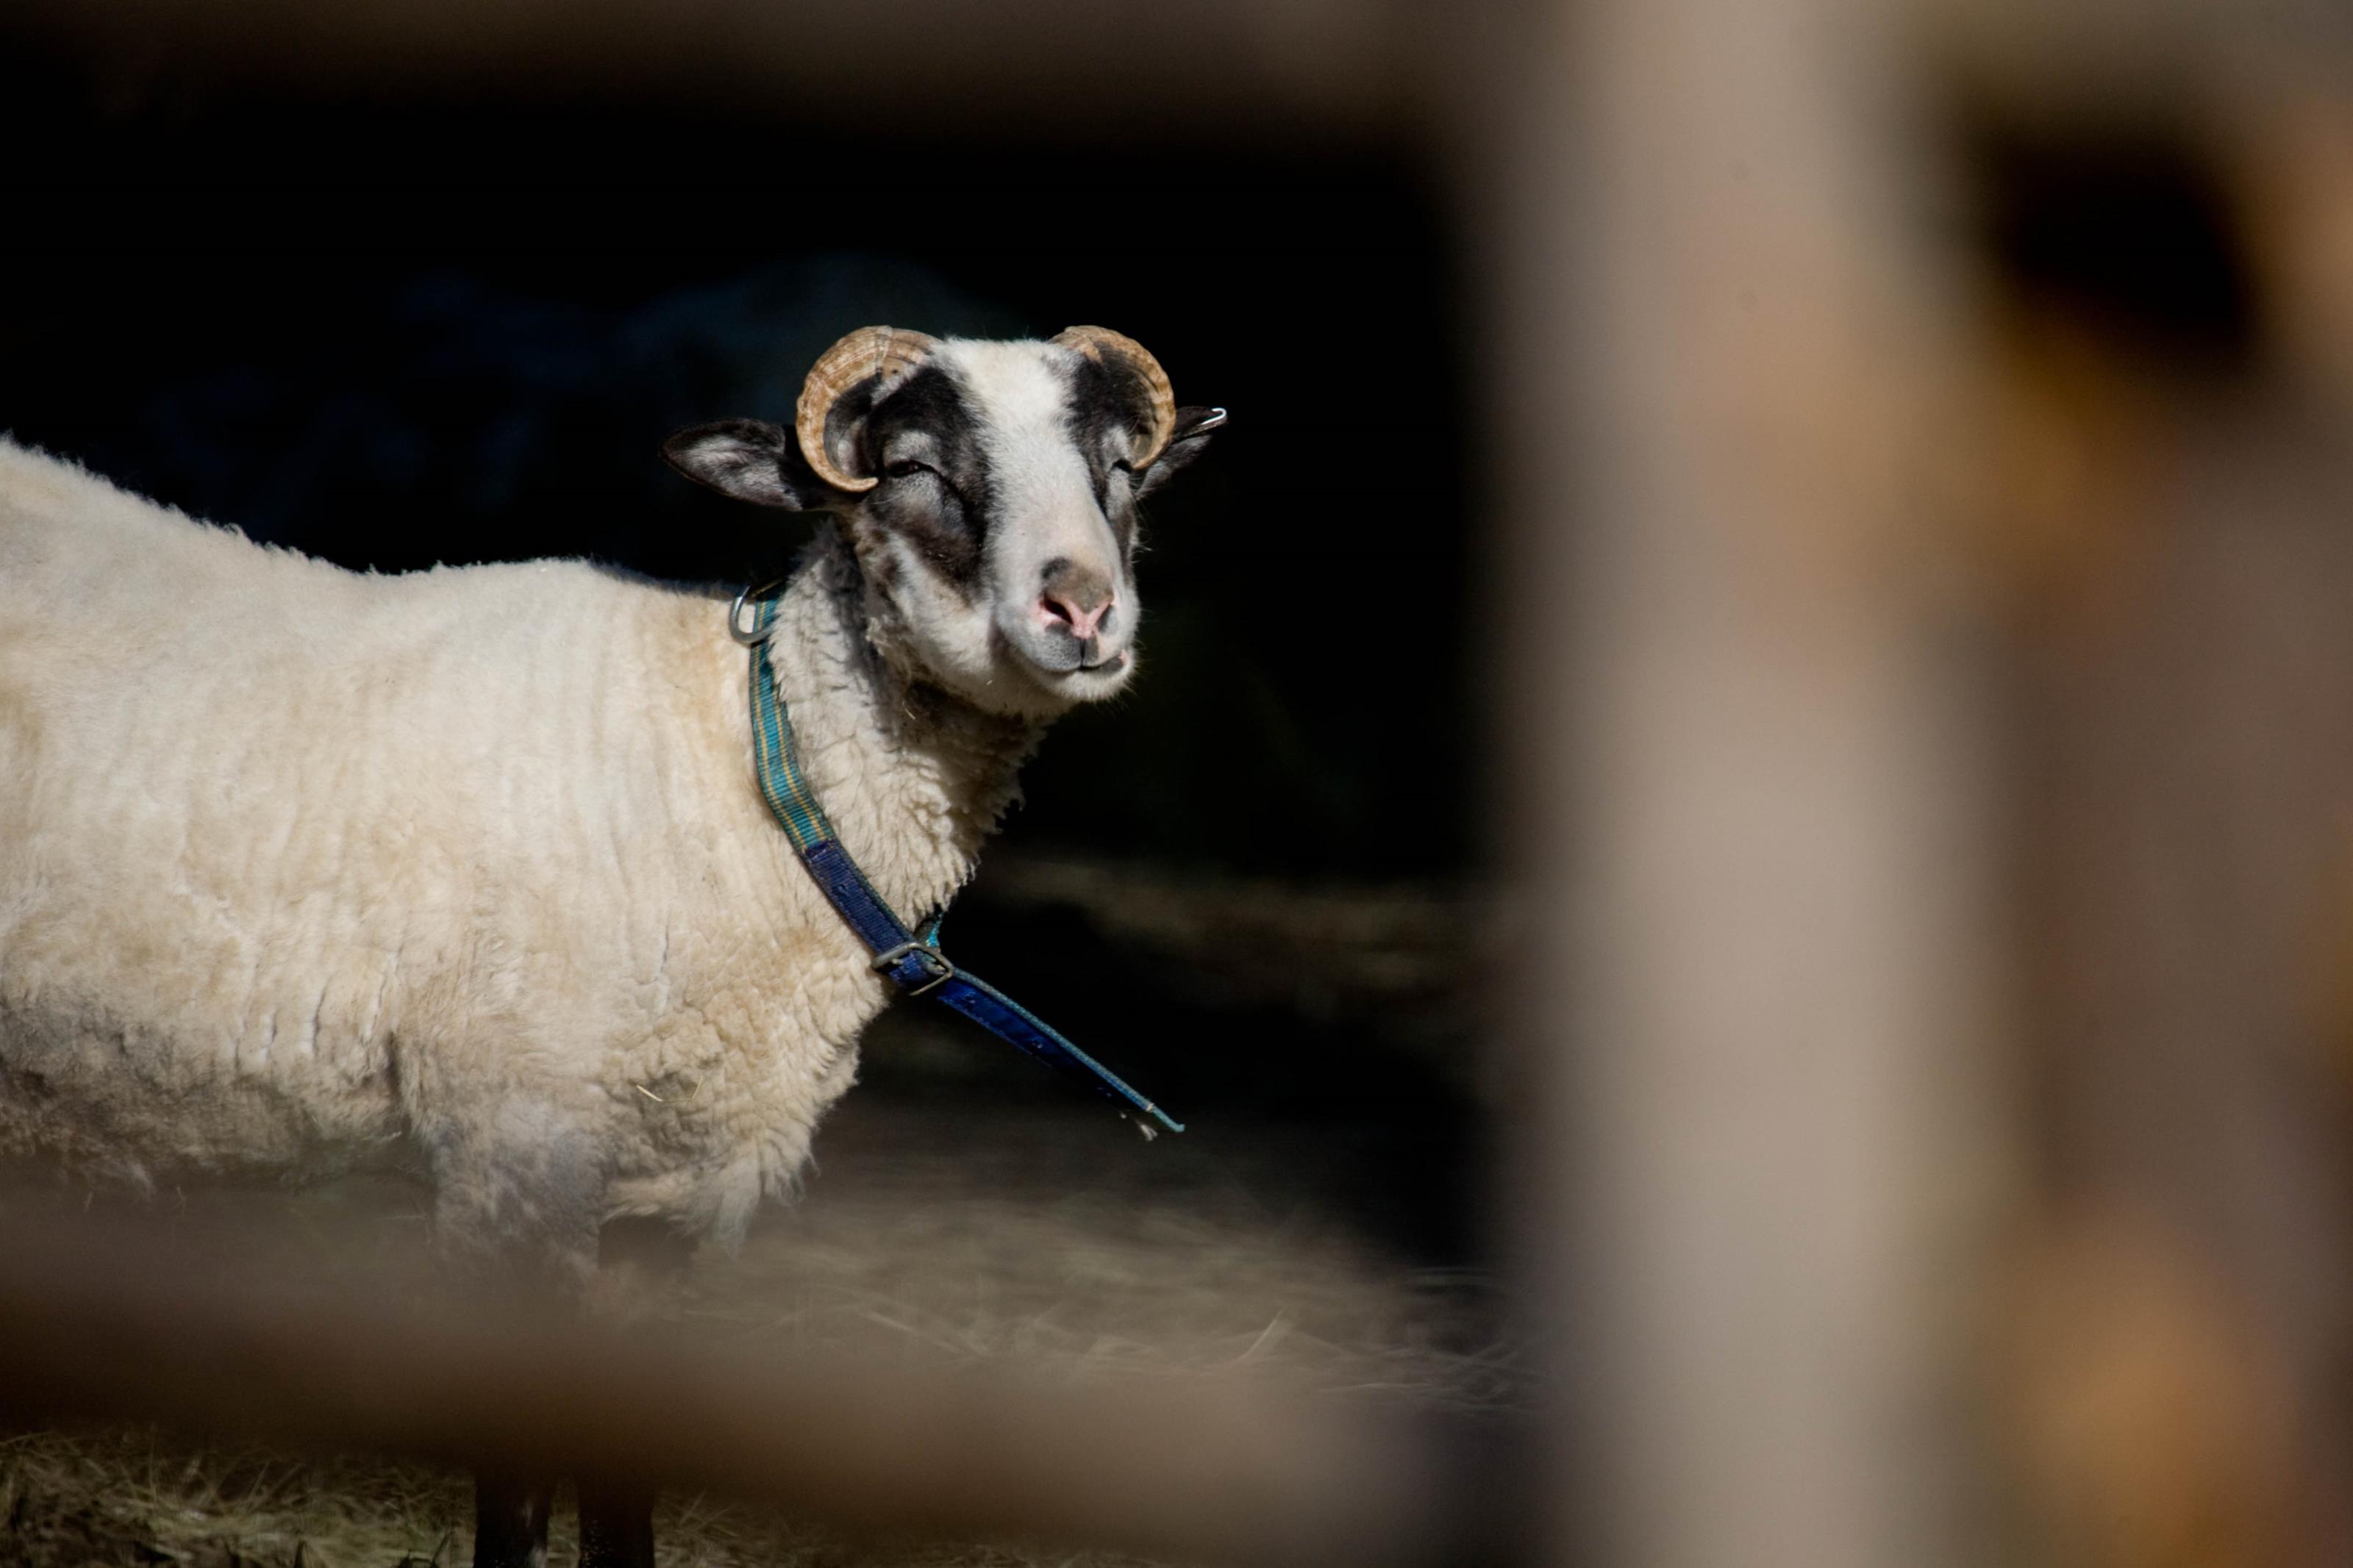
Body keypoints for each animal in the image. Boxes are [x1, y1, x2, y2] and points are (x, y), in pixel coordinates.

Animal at [0, 325, 1223, 1568]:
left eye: (1120, 471)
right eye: (914, 467)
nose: (1083, 609)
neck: (742, 759)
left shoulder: (679, 1175)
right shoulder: (512, 1132)